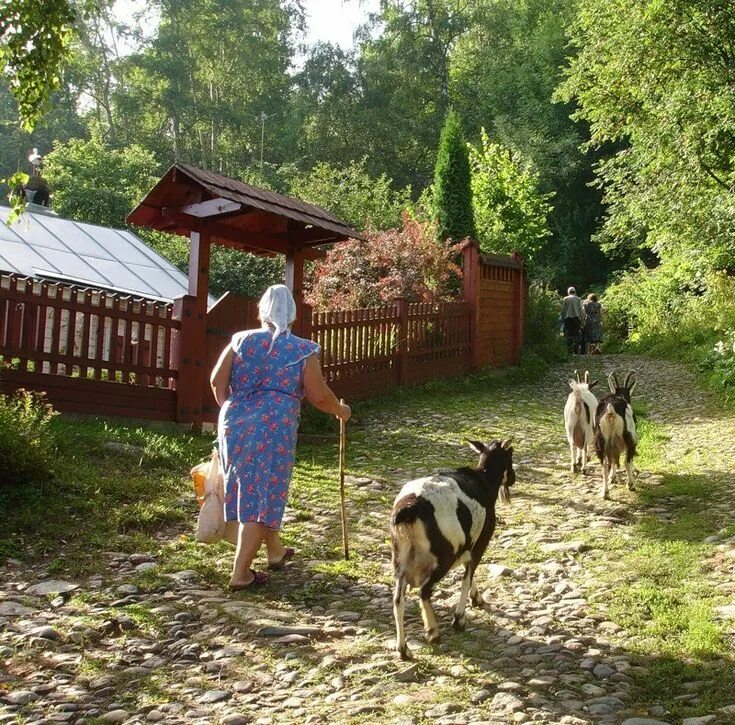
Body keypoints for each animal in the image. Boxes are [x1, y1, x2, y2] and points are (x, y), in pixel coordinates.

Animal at [392, 438, 516, 660]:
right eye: (510, 455)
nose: (513, 478)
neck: (485, 480)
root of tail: (410, 508)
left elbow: (469, 574)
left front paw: (477, 599)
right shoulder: (479, 544)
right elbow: (468, 575)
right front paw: (459, 618)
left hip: (401, 560)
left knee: (398, 601)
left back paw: (404, 649)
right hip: (443, 557)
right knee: (424, 590)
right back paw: (432, 632)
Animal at [592, 370, 640, 500]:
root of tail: (611, 411)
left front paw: (612, 477)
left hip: (601, 440)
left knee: (604, 463)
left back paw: (605, 492)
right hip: (629, 437)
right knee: (627, 460)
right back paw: (631, 485)